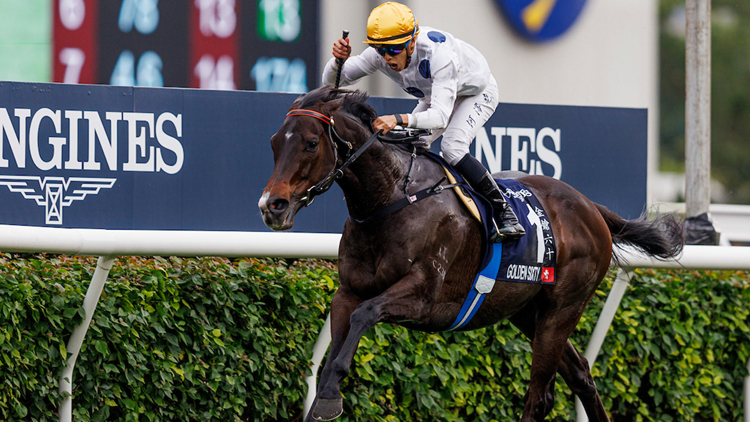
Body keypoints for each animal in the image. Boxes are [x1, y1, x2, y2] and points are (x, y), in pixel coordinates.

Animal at [258, 85, 684, 421]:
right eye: (275, 142)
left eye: (311, 143)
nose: (272, 206)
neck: (393, 198)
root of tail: (591, 207)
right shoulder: (347, 291)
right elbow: (335, 344)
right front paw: (324, 396)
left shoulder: (424, 296)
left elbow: (366, 314)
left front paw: (330, 397)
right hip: (527, 310)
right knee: (581, 376)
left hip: (563, 308)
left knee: (539, 395)